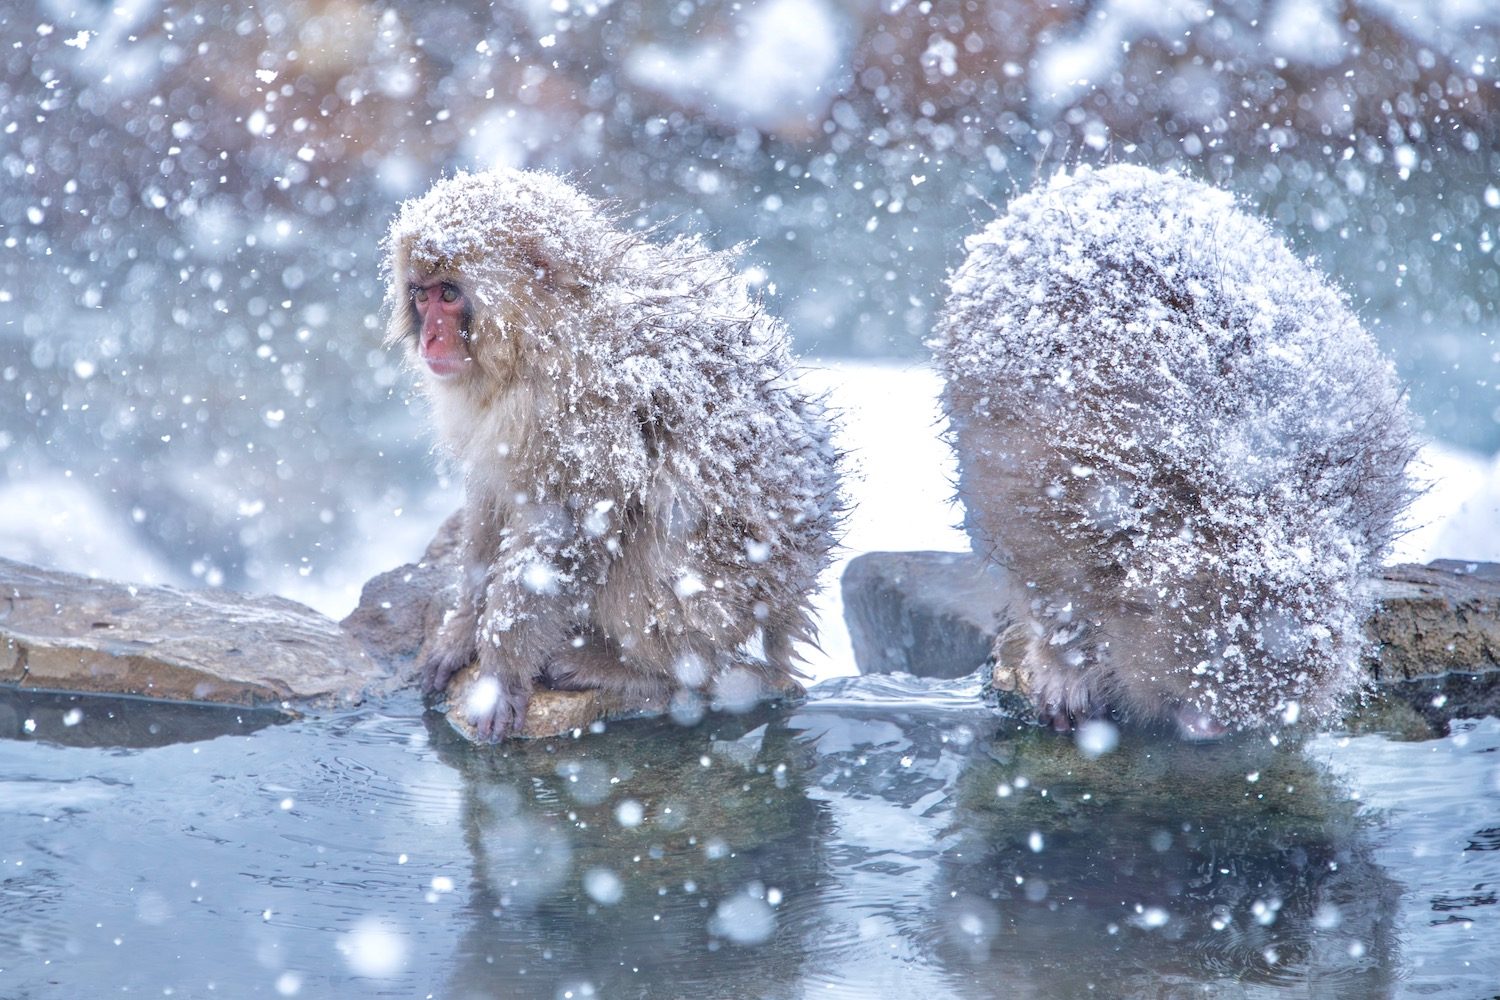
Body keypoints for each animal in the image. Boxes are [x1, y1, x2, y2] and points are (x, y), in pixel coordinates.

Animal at [383, 169, 842, 741]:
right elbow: (491, 497)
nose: (430, 338)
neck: (540, 334)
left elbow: (567, 527)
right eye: (420, 296)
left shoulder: (580, 402)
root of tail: (789, 603)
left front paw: (500, 675)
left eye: (449, 293)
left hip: (735, 590)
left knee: (662, 532)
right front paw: (461, 630)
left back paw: (644, 673)